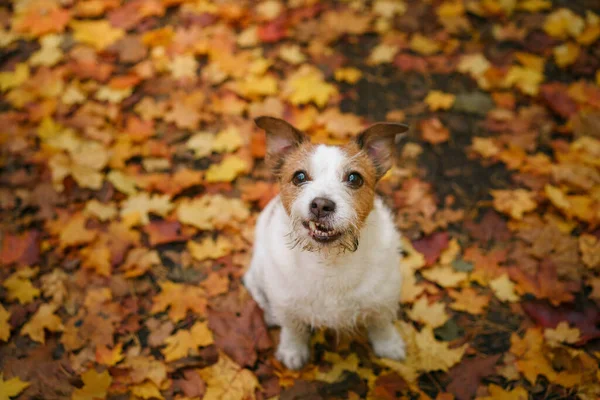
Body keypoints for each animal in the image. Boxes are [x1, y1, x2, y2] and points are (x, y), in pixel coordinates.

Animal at [243, 115, 408, 368]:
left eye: (354, 178)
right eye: (299, 176)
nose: (321, 205)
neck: (329, 261)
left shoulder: (383, 300)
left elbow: (381, 324)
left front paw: (389, 346)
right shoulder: (288, 306)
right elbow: (293, 329)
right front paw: (292, 351)